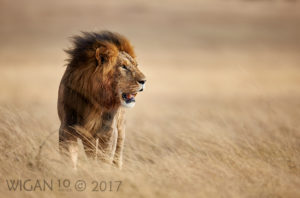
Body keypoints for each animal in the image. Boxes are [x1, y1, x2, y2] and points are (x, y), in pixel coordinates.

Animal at [56, 31, 146, 169]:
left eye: (136, 66)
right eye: (123, 67)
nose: (144, 81)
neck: (95, 100)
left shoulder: (108, 130)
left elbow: (104, 159)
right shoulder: (67, 128)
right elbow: (69, 159)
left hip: (120, 129)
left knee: (117, 154)